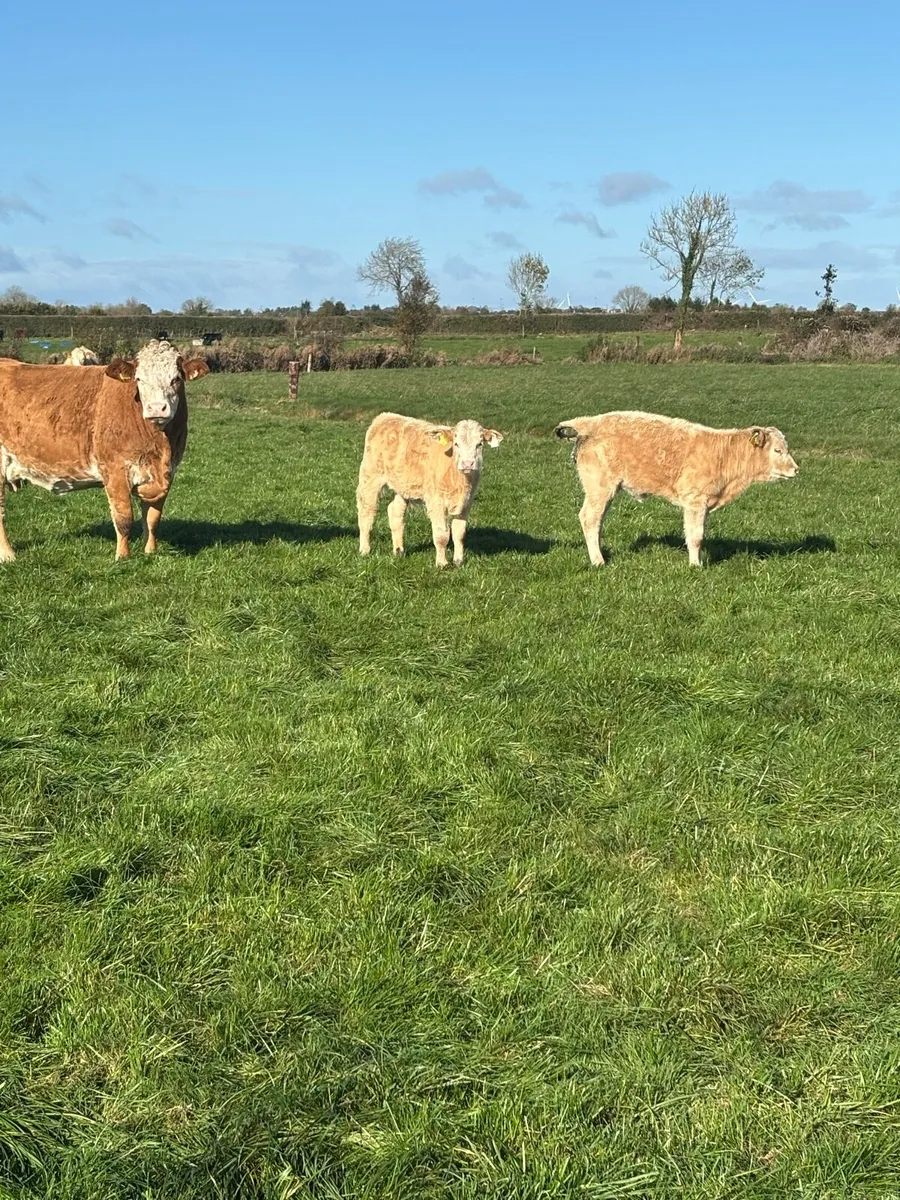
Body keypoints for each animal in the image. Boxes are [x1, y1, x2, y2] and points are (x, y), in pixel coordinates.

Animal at [0, 339, 209, 562]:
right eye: (139, 379)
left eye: (176, 379)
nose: (156, 408)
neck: (159, 447)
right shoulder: (116, 470)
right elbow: (124, 518)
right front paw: (122, 557)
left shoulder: (168, 472)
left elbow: (153, 518)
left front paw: (151, 551)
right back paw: (8, 555)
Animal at [357, 412, 503, 568]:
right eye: (456, 444)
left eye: (479, 444)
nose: (467, 463)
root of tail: (385, 416)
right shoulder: (436, 501)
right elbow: (441, 535)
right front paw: (442, 563)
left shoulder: (466, 502)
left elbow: (459, 533)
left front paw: (458, 561)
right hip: (370, 477)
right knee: (366, 512)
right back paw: (365, 550)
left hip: (403, 487)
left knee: (395, 511)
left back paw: (399, 550)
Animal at [555, 410, 799, 567]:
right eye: (777, 450)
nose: (796, 469)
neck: (723, 455)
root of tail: (590, 422)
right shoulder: (694, 501)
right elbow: (696, 536)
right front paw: (695, 566)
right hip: (600, 488)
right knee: (590, 519)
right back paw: (598, 561)